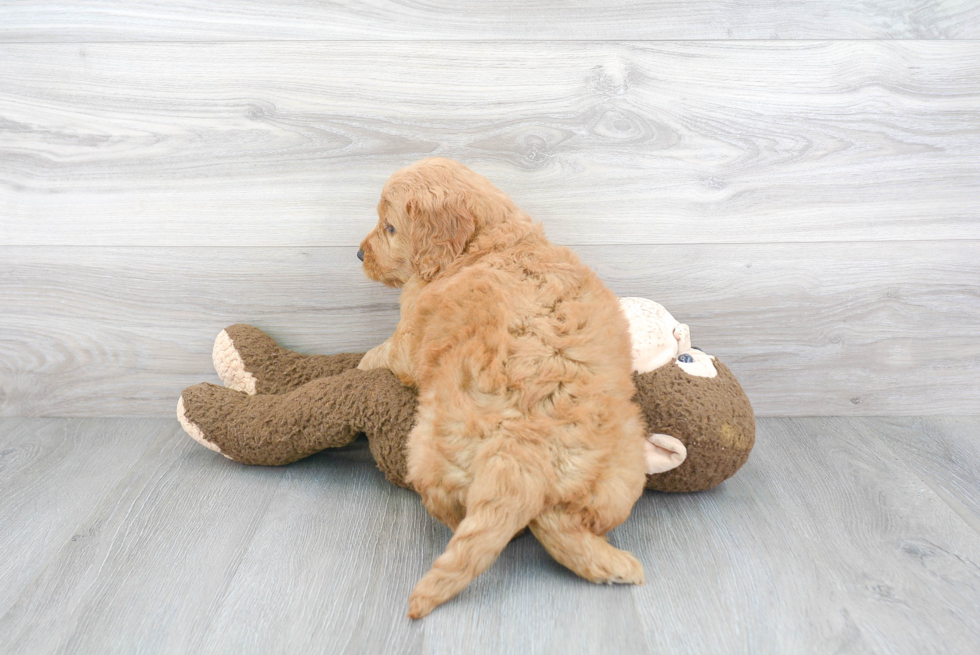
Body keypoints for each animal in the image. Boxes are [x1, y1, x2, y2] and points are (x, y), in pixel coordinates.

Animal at [356, 156, 648, 616]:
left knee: (458, 514)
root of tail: (519, 456)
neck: (489, 240)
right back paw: (614, 565)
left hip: (427, 454)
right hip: (623, 468)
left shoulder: (409, 332)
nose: (359, 253)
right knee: (568, 526)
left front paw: (360, 360)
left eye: (389, 227)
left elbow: (382, 352)